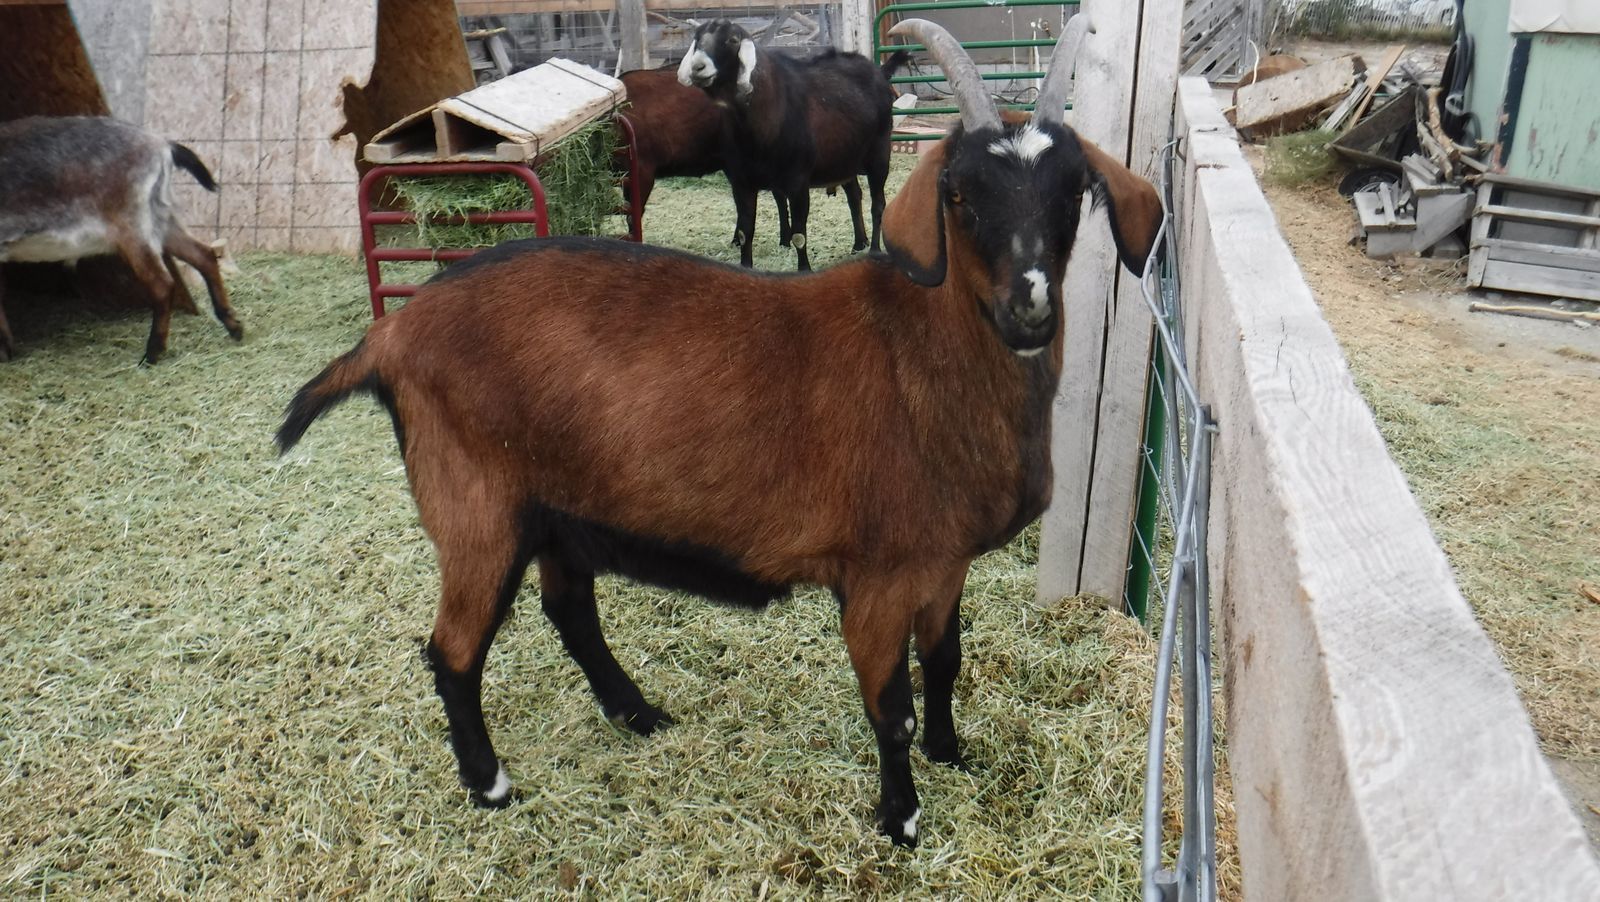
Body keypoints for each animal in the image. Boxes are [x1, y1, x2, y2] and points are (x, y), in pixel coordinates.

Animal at [0, 117, 241, 364]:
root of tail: (162, 145)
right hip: (161, 219)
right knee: (204, 256)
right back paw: (233, 325)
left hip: (133, 229)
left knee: (162, 284)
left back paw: (152, 353)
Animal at [678, 22, 904, 269]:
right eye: (697, 38)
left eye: (733, 40)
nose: (698, 67)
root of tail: (878, 72)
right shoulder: (742, 183)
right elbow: (745, 233)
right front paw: (746, 267)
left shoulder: (798, 182)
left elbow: (798, 235)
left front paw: (804, 269)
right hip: (843, 159)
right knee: (854, 195)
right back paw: (858, 243)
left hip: (879, 155)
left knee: (878, 204)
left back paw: (873, 249)